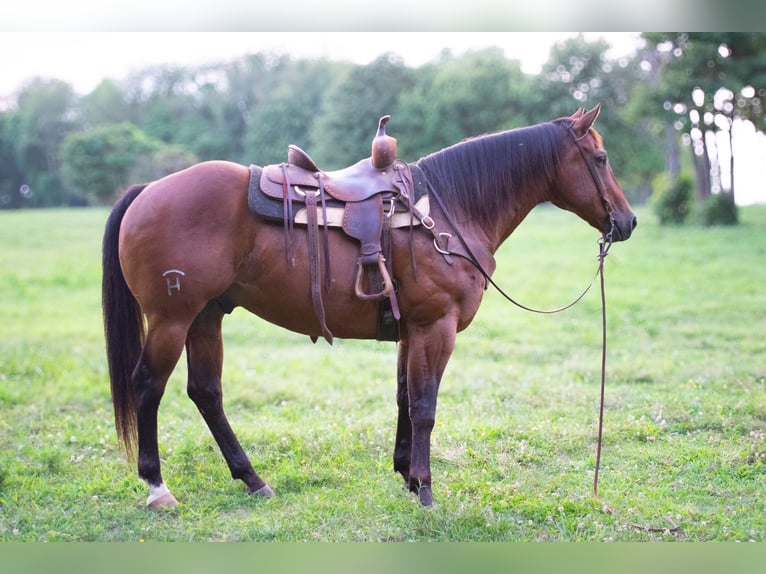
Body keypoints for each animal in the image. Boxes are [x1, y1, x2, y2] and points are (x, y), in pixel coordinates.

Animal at [103, 104, 640, 508]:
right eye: (601, 158)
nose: (628, 221)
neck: (450, 209)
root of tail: (148, 191)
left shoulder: (412, 330)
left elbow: (405, 398)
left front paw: (407, 476)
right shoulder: (436, 327)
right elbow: (425, 406)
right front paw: (426, 490)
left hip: (206, 316)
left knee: (206, 392)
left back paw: (253, 480)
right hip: (172, 319)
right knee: (147, 386)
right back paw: (158, 488)